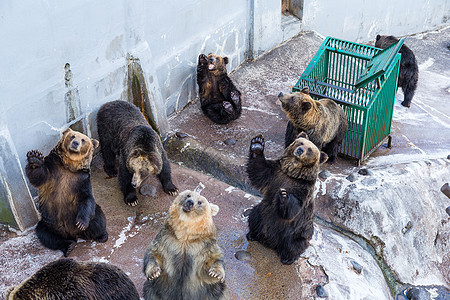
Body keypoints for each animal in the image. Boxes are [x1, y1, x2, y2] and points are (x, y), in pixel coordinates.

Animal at [25, 127, 108, 256]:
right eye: (72, 136)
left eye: (83, 140)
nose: (75, 143)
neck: (69, 166)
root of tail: (73, 234)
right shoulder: (53, 170)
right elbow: (39, 176)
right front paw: (35, 158)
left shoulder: (81, 179)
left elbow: (87, 198)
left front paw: (81, 223)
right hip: (50, 223)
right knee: (46, 235)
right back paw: (68, 246)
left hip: (87, 216)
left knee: (98, 220)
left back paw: (102, 236)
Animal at [246, 132, 326, 264]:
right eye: (300, 143)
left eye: (310, 149)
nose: (300, 150)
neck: (292, 173)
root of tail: (270, 242)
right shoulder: (274, 172)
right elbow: (259, 171)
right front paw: (257, 144)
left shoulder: (303, 188)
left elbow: (295, 208)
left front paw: (284, 195)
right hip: (262, 213)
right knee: (253, 217)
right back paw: (253, 234)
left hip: (296, 231)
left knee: (294, 244)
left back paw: (288, 258)